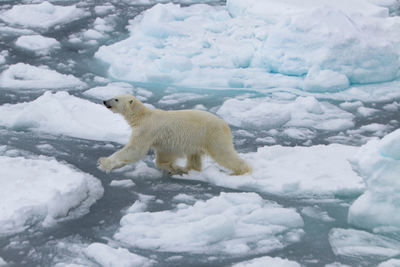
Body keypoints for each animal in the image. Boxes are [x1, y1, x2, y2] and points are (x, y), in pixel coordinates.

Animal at [97, 94, 252, 176]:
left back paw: (240, 171)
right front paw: (172, 168)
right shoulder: (161, 139)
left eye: (116, 99)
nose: (104, 101)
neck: (141, 116)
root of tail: (225, 124)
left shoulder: (146, 130)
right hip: (198, 138)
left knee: (223, 153)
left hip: (212, 135)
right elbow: (164, 155)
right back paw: (187, 168)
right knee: (194, 155)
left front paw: (103, 162)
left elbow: (134, 149)